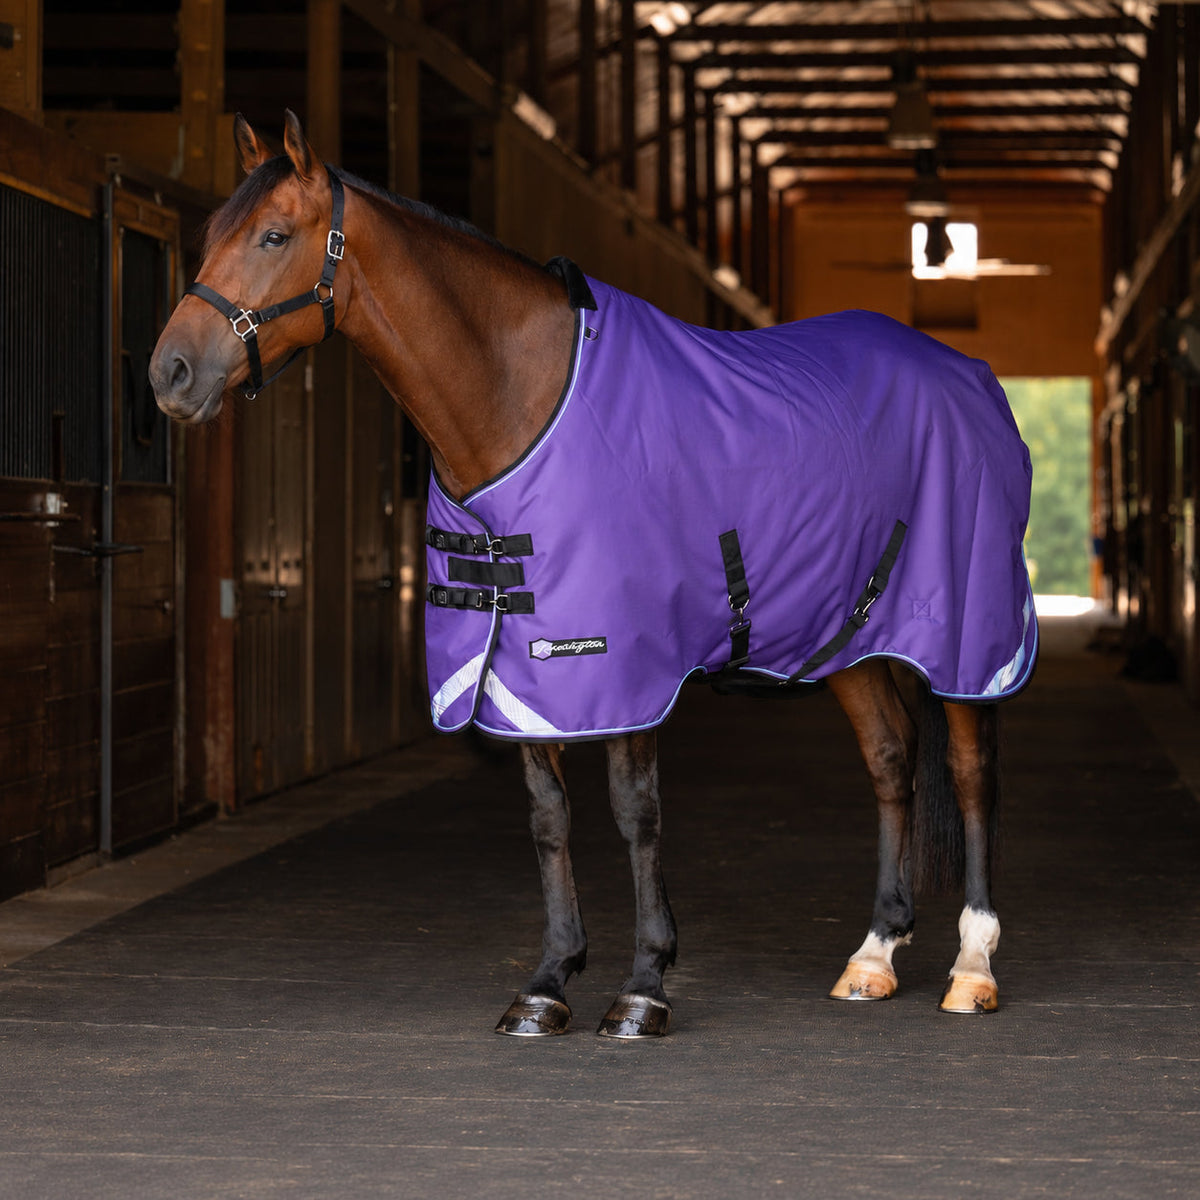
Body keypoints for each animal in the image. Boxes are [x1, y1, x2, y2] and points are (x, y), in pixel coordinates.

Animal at [150, 111, 1036, 1038]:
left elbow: (634, 812)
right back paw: (873, 954)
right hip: (849, 635)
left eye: (273, 235)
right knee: (892, 760)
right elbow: (549, 817)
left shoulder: (627, 663)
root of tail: (968, 377)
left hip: (969, 634)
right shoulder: (520, 670)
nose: (168, 372)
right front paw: (547, 982)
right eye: (210, 237)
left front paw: (644, 985)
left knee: (972, 774)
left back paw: (972, 967)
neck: (523, 399)